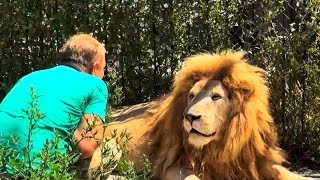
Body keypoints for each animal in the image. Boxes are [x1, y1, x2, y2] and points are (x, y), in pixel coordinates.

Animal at [81, 51, 312, 179]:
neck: (222, 145)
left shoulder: (256, 163)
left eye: (216, 97)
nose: (190, 117)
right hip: (109, 148)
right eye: (191, 96)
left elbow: (290, 174)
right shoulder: (173, 166)